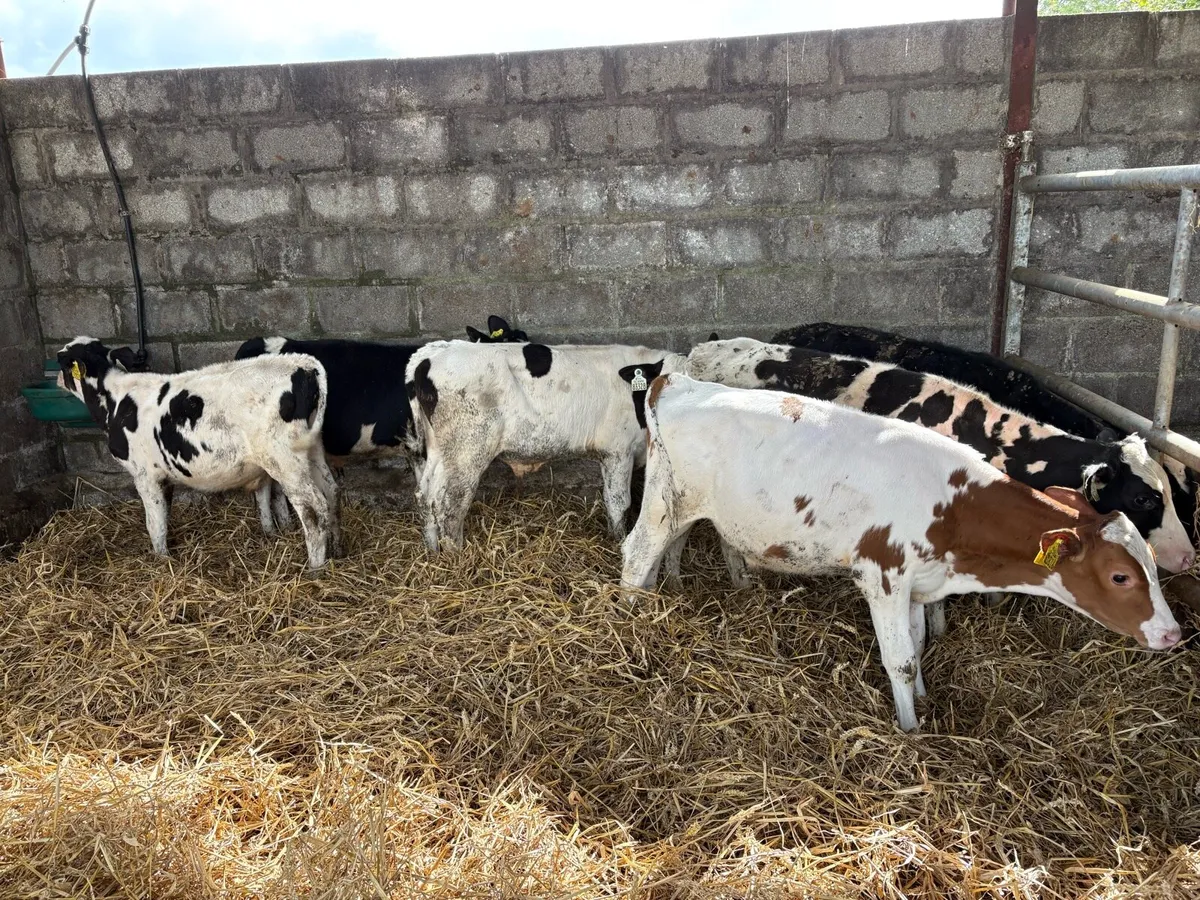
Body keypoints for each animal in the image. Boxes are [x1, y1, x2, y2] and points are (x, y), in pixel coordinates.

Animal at [56, 337, 338, 570]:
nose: (56, 377)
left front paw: (161, 560)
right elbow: (165, 515)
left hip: (284, 460)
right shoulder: (163, 475)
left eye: (62, 359)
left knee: (314, 508)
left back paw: (315, 567)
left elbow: (154, 523)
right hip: (311, 451)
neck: (116, 401)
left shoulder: (144, 475)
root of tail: (301, 364)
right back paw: (336, 549)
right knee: (331, 491)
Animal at [404, 340, 685, 550]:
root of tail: (433, 353)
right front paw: (617, 541)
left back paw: (433, 552)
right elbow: (619, 502)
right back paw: (457, 557)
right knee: (449, 504)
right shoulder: (617, 451)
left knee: (425, 495)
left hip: (441, 450)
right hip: (467, 451)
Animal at [622, 374, 1181, 732]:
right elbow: (901, 659)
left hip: (698, 508)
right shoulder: (884, 576)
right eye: (1120, 577)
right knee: (636, 555)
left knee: (676, 546)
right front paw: (910, 730)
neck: (951, 503)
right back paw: (632, 621)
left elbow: (918, 645)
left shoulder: (919, 584)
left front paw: (925, 701)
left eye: (1151, 566)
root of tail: (677, 382)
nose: (1172, 633)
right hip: (663, 503)